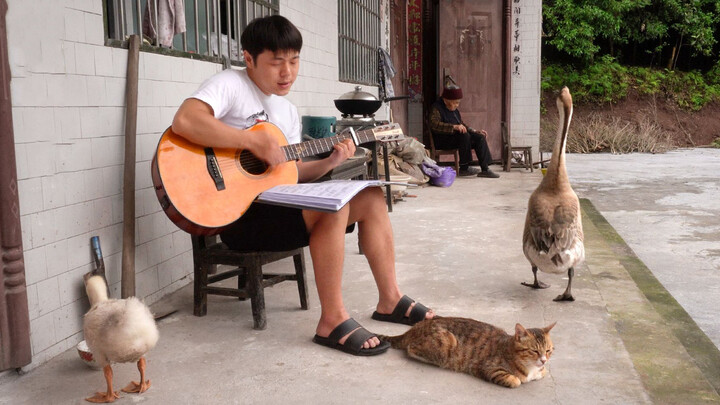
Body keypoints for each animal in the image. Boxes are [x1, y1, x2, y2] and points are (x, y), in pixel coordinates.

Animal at [380, 314, 556, 386]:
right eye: (534, 351)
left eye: (548, 351)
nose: (543, 360)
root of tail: (415, 327)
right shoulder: (489, 368)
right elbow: (516, 381)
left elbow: (543, 373)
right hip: (445, 345)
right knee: (411, 347)